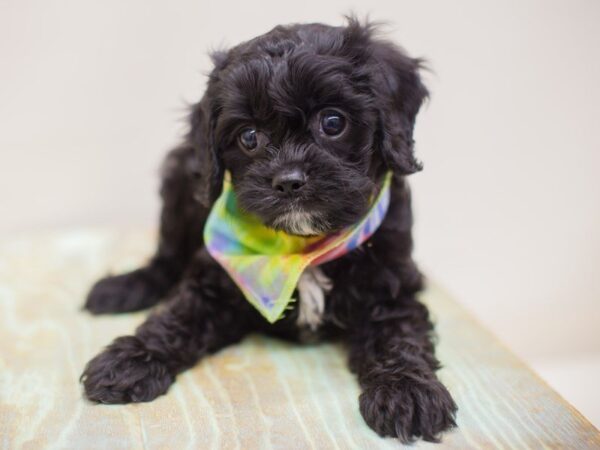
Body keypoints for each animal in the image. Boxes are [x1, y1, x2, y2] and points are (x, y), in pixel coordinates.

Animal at [79, 18, 454, 442]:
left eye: (333, 122)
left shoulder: (389, 284)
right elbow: (177, 316)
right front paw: (129, 359)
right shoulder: (214, 280)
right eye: (249, 136)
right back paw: (123, 287)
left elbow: (399, 333)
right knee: (166, 259)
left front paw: (409, 391)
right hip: (180, 176)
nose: (289, 181)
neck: (302, 248)